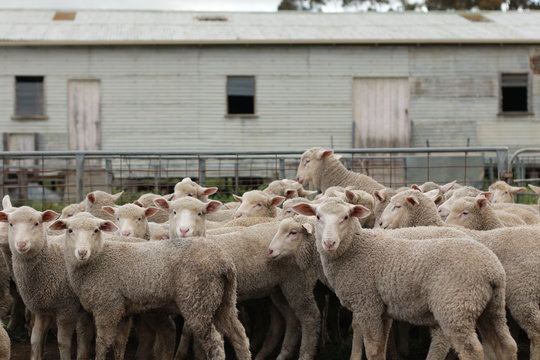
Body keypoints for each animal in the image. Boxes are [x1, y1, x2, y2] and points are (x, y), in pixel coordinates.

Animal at [0, 205, 92, 360]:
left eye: (37, 223)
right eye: (11, 224)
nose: (21, 244)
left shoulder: (67, 308)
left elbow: (63, 343)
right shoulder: (41, 308)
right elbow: (35, 339)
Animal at [51, 211, 250, 360]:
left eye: (96, 230)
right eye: (70, 230)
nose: (82, 252)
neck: (99, 260)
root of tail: (223, 261)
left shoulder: (107, 307)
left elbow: (102, 344)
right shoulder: (122, 310)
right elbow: (119, 343)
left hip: (198, 299)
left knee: (215, 342)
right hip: (224, 299)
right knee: (239, 335)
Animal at [294, 198, 516, 360]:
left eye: (346, 217)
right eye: (317, 216)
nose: (329, 242)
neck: (355, 250)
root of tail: (492, 269)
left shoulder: (368, 305)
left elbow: (372, 350)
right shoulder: (381, 311)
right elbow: (380, 348)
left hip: (455, 308)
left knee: (472, 351)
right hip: (491, 308)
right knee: (506, 346)